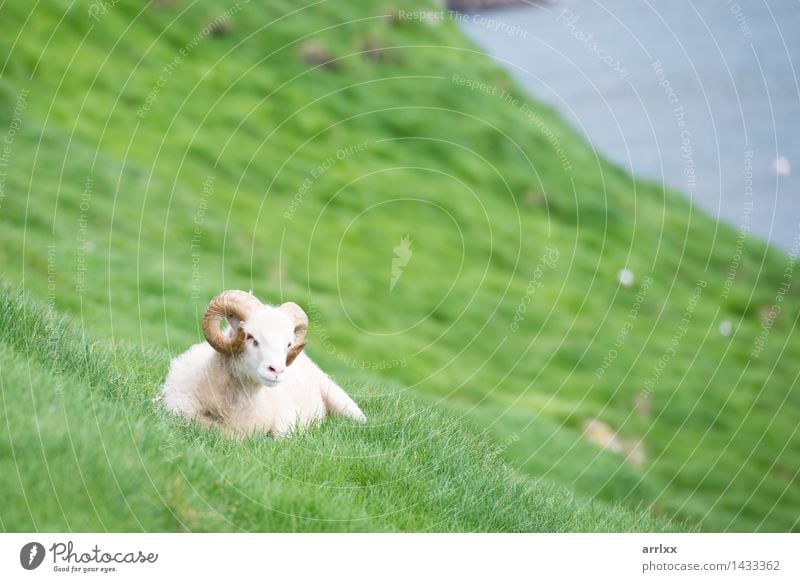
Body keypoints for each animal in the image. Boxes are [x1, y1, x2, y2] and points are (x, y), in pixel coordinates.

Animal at [163, 292, 368, 438]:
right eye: (251, 338)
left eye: (288, 345)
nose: (276, 370)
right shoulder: (177, 408)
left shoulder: (286, 422)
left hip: (342, 401)